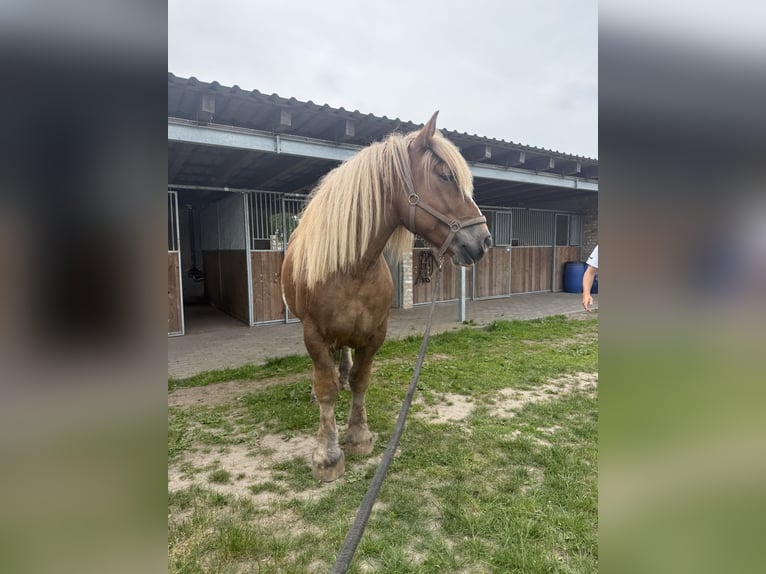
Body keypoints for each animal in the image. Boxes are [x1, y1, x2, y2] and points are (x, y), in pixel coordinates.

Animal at [281, 112, 491, 481]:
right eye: (445, 175)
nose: (483, 240)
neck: (351, 269)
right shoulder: (314, 335)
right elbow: (325, 389)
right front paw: (327, 455)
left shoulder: (375, 333)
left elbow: (360, 380)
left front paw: (358, 437)